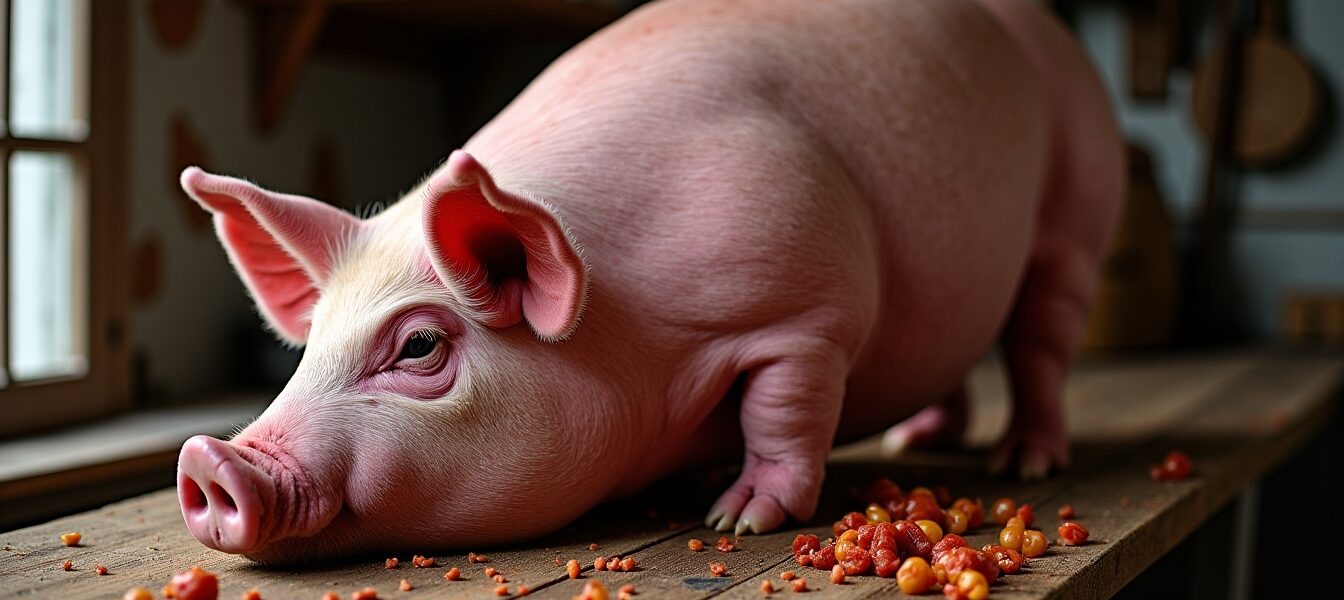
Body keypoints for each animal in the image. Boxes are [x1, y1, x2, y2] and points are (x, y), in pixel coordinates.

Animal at [175, 0, 1121, 563]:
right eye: (309, 347)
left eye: (418, 345)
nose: (210, 457)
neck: (635, 338)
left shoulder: (808, 307)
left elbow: (782, 411)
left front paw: (737, 517)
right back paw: (913, 441)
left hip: (1076, 216)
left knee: (1040, 340)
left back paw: (1024, 461)